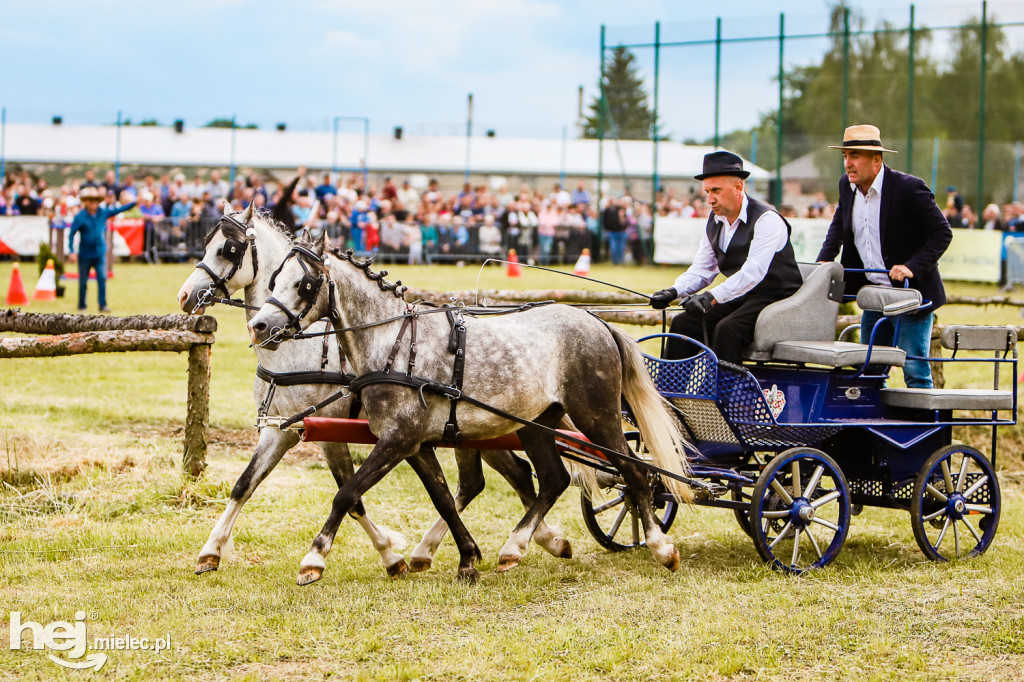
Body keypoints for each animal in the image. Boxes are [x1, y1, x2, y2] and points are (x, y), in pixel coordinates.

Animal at [174, 202, 569, 577]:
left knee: (502, 478)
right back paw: (537, 540)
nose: (185, 295)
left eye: (228, 249)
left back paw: (528, 542)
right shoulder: (281, 429)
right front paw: (210, 551)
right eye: (206, 244)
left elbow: (351, 497)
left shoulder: (329, 432)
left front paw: (386, 556)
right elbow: (244, 485)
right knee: (497, 478)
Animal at [248, 228, 696, 585]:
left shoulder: (398, 439)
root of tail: (597, 322)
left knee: (633, 472)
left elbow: (347, 494)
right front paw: (464, 559)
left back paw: (660, 547)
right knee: (553, 479)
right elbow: (444, 498)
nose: (259, 326)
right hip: (537, 423)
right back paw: (515, 547)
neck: (394, 343)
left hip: (596, 415)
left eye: (304, 283)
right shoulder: (415, 444)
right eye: (274, 278)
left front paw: (313, 560)